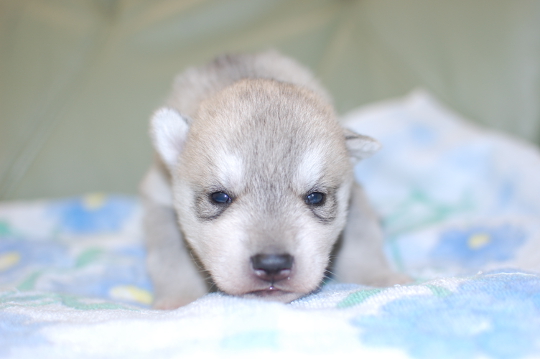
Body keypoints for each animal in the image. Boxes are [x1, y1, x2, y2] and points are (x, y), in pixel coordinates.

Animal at [141, 52, 408, 310]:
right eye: (219, 197)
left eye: (316, 197)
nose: (272, 264)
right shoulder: (161, 202)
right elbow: (172, 258)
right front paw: (179, 300)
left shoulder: (355, 200)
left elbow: (362, 245)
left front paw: (381, 278)